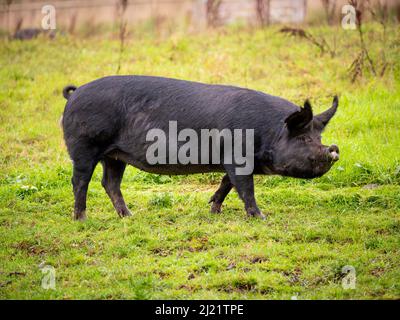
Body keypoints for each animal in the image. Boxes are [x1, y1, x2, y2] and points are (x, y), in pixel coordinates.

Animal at [61, 75, 338, 220]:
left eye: (319, 137)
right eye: (304, 139)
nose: (334, 149)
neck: (269, 132)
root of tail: (75, 94)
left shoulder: (231, 161)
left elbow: (227, 183)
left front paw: (214, 210)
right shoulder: (238, 157)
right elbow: (245, 188)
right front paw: (260, 217)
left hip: (115, 155)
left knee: (109, 183)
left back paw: (129, 216)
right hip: (84, 146)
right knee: (80, 181)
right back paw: (81, 218)